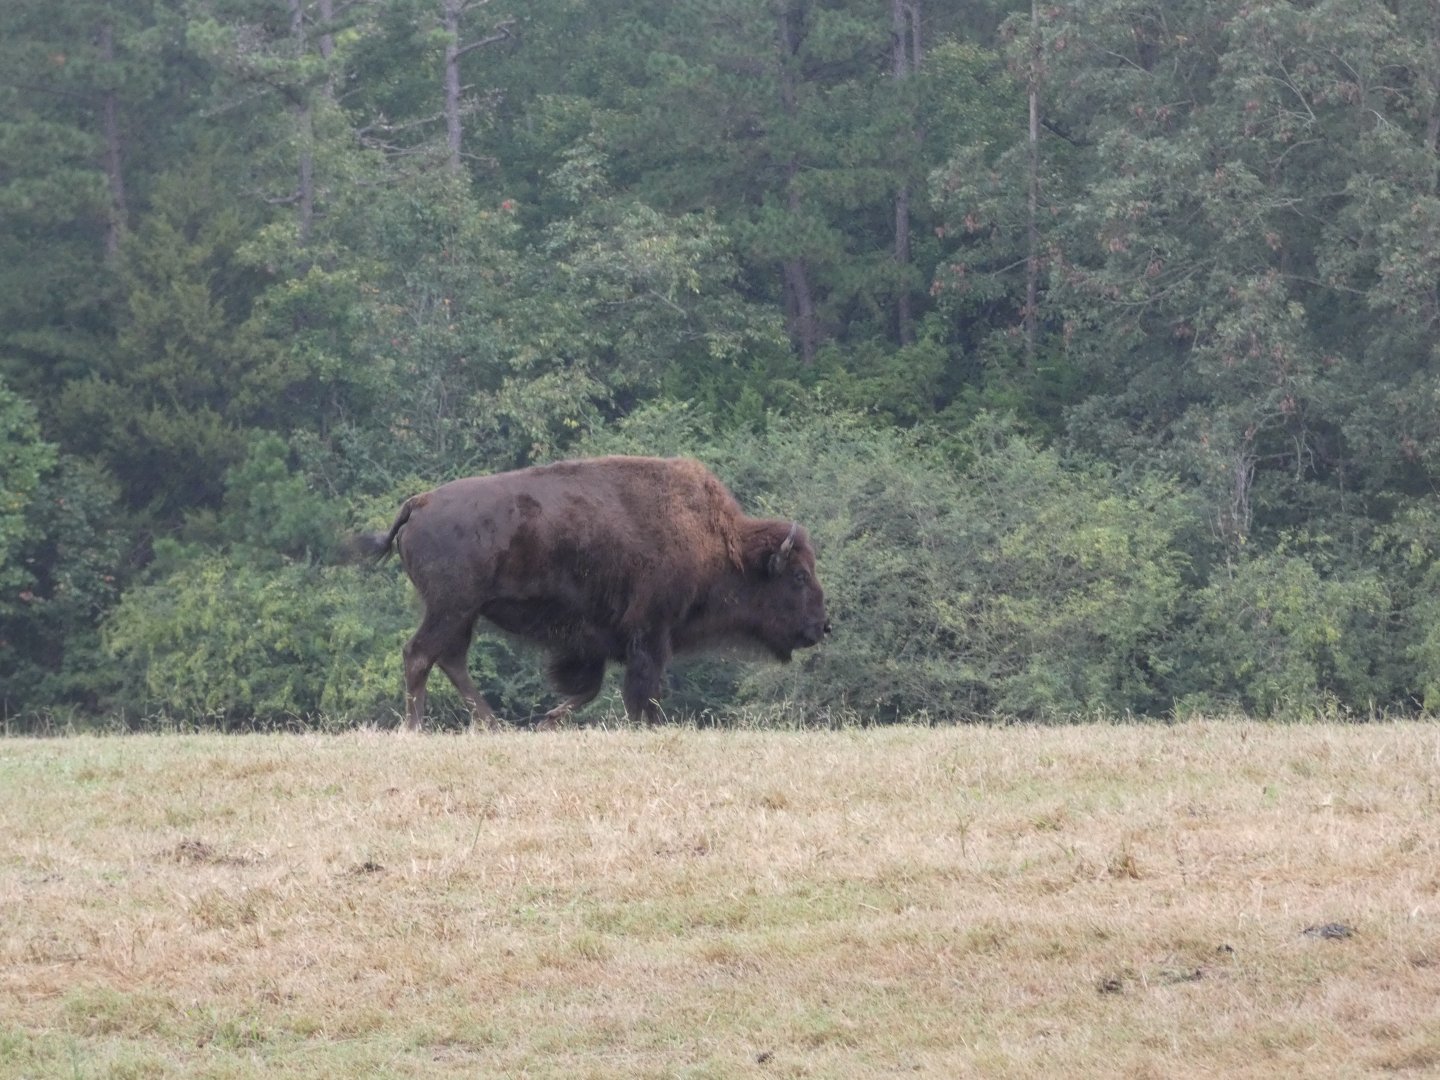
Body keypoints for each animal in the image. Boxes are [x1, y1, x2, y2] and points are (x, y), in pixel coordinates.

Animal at [355, 455, 830, 730]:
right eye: (798, 576)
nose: (822, 626)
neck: (718, 540)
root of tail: (420, 503)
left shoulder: (596, 639)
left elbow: (591, 687)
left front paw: (550, 719)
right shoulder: (650, 631)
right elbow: (643, 686)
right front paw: (648, 724)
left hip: (463, 613)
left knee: (449, 659)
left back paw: (494, 724)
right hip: (451, 607)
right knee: (420, 654)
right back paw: (416, 727)